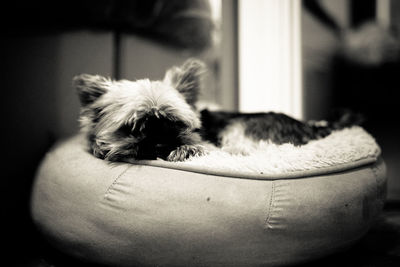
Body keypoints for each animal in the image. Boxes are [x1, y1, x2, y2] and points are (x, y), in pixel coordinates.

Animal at [74, 59, 362, 163]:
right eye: (134, 127)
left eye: (175, 124)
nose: (159, 144)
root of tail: (310, 126)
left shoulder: (208, 144)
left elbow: (199, 147)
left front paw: (184, 150)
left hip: (240, 133)